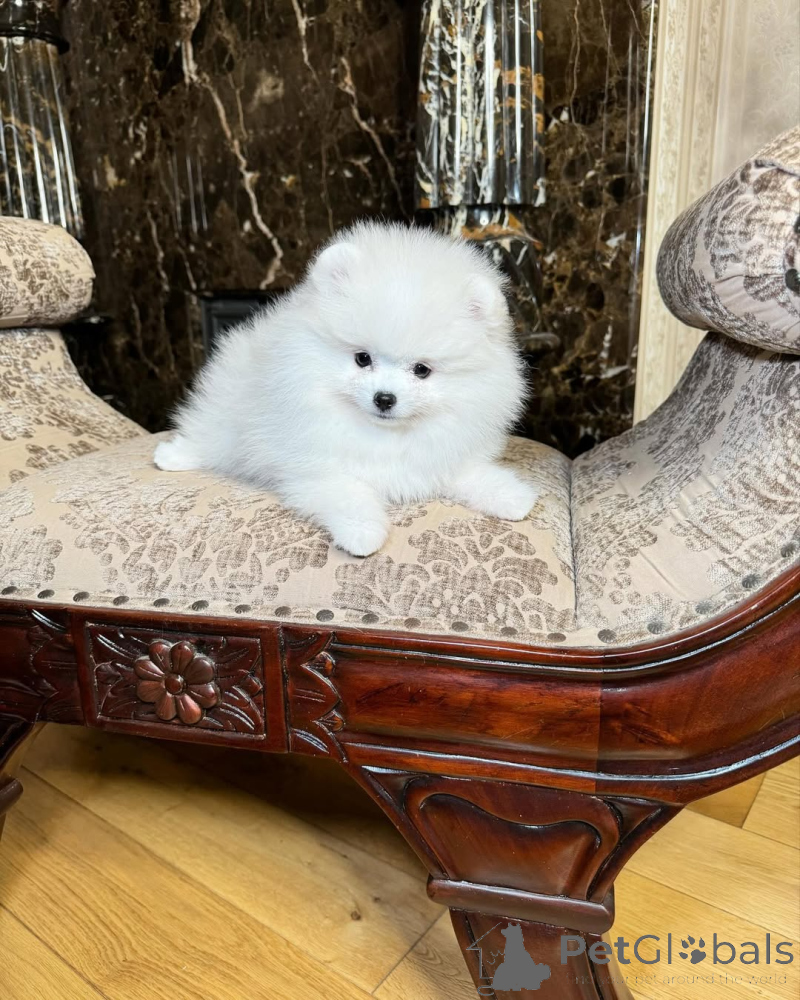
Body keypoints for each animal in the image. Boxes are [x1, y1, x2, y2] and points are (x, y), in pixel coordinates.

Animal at [154, 222, 536, 556]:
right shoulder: (316, 468)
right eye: (362, 359)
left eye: (422, 370)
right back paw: (173, 456)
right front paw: (363, 533)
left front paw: (512, 496)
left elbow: (470, 473)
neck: (386, 435)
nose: (384, 398)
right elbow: (349, 494)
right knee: (208, 435)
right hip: (228, 410)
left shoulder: (437, 458)